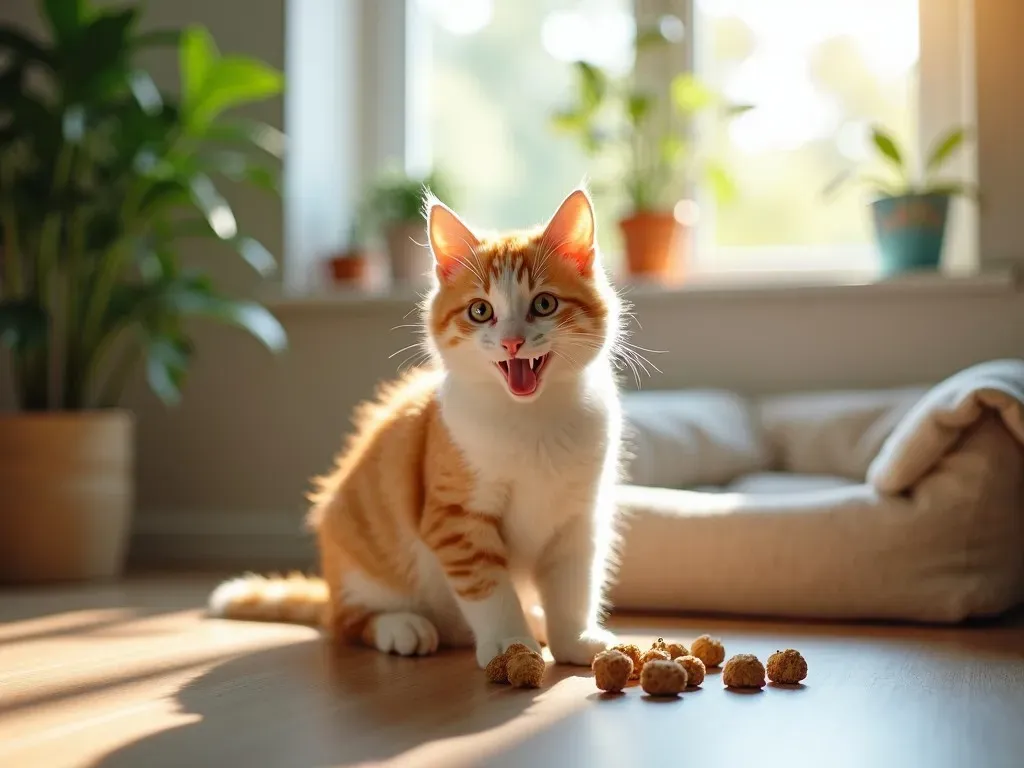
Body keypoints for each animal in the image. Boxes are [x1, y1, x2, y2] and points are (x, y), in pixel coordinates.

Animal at [207, 186, 622, 667]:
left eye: (544, 304)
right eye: (480, 310)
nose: (512, 341)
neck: (533, 419)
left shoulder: (579, 519)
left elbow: (573, 585)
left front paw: (575, 640)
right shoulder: (455, 517)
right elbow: (489, 586)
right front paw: (508, 643)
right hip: (357, 554)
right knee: (345, 623)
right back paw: (402, 626)